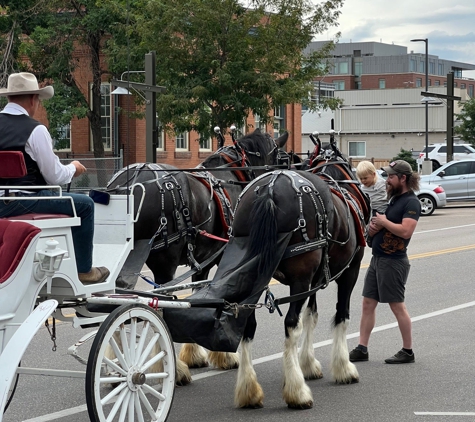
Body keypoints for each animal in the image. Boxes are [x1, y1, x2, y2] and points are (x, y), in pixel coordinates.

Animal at [105, 129, 288, 382]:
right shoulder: (222, 258)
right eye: (280, 158)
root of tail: (129, 184)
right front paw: (223, 355)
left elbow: (197, 298)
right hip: (165, 263)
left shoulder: (202, 261)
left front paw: (195, 354)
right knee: (158, 305)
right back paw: (171, 370)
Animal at [227, 145, 372, 408]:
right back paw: (297, 392)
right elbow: (341, 315)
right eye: (348, 164)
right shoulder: (350, 271)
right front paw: (343, 368)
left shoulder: (315, 279)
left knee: (249, 324)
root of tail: (270, 188)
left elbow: (311, 315)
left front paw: (308, 364)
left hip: (256, 276)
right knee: (291, 324)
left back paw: (248, 390)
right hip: (301, 278)